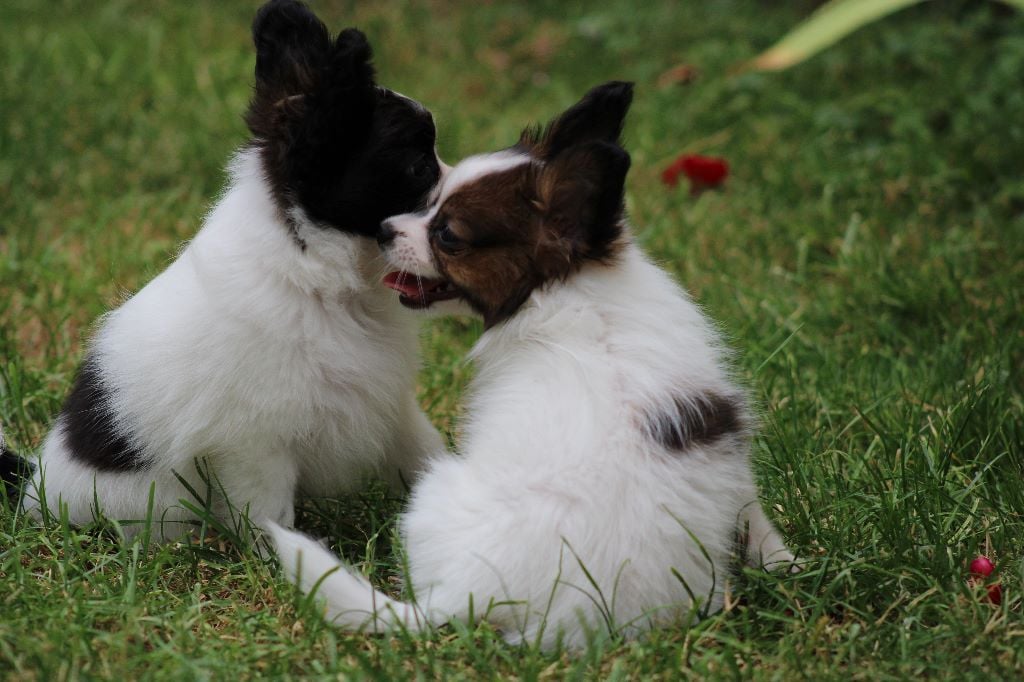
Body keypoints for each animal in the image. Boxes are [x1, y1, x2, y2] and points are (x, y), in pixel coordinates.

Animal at [12, 0, 444, 540]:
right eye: (419, 168)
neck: (319, 281)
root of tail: (35, 486)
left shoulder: (393, 406)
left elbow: (428, 453)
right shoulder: (253, 445)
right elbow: (269, 514)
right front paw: (286, 557)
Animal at [268, 80, 794, 647]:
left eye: (446, 234)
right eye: (428, 198)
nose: (385, 229)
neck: (568, 288)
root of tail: (467, 594)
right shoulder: (731, 451)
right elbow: (751, 509)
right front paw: (783, 562)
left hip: (434, 489)